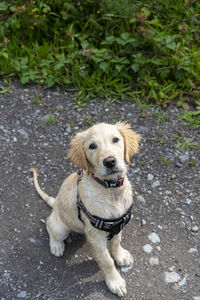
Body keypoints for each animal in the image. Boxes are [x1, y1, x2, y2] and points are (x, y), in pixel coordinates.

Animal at [30, 122, 141, 298]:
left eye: (115, 139)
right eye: (92, 146)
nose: (110, 161)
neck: (110, 189)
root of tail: (55, 202)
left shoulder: (118, 224)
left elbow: (116, 241)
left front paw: (120, 255)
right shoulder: (96, 236)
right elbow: (107, 261)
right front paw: (115, 282)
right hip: (60, 228)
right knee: (49, 225)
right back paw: (56, 246)